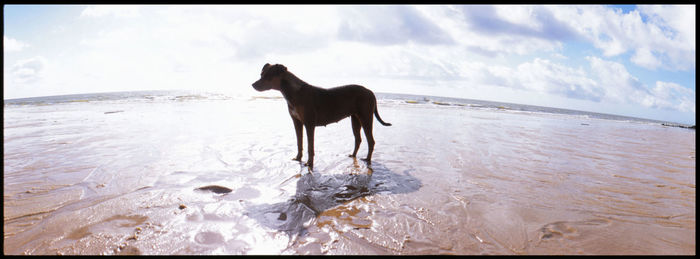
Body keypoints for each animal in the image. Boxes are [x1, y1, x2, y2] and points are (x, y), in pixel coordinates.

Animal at [253, 63, 394, 171]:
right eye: (261, 74)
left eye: (268, 76)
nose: (253, 85)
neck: (293, 91)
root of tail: (370, 92)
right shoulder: (297, 122)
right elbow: (299, 142)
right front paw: (298, 158)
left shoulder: (309, 124)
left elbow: (310, 146)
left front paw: (309, 163)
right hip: (355, 119)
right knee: (358, 139)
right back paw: (353, 155)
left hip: (366, 117)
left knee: (371, 140)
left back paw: (368, 159)